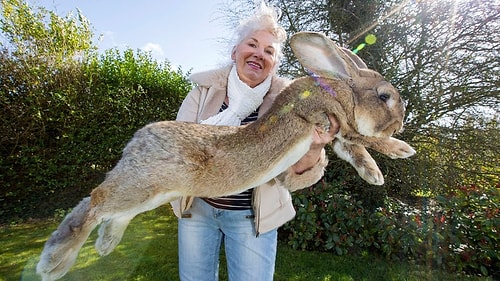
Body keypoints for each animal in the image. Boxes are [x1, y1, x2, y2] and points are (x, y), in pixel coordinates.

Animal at [37, 31, 414, 278]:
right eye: (384, 97)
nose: (401, 123)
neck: (339, 89)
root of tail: (137, 141)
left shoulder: (335, 135)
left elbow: (354, 149)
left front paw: (374, 175)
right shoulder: (329, 119)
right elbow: (362, 138)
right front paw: (400, 150)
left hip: (151, 193)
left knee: (107, 209)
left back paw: (103, 245)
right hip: (143, 185)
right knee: (96, 201)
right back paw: (54, 261)